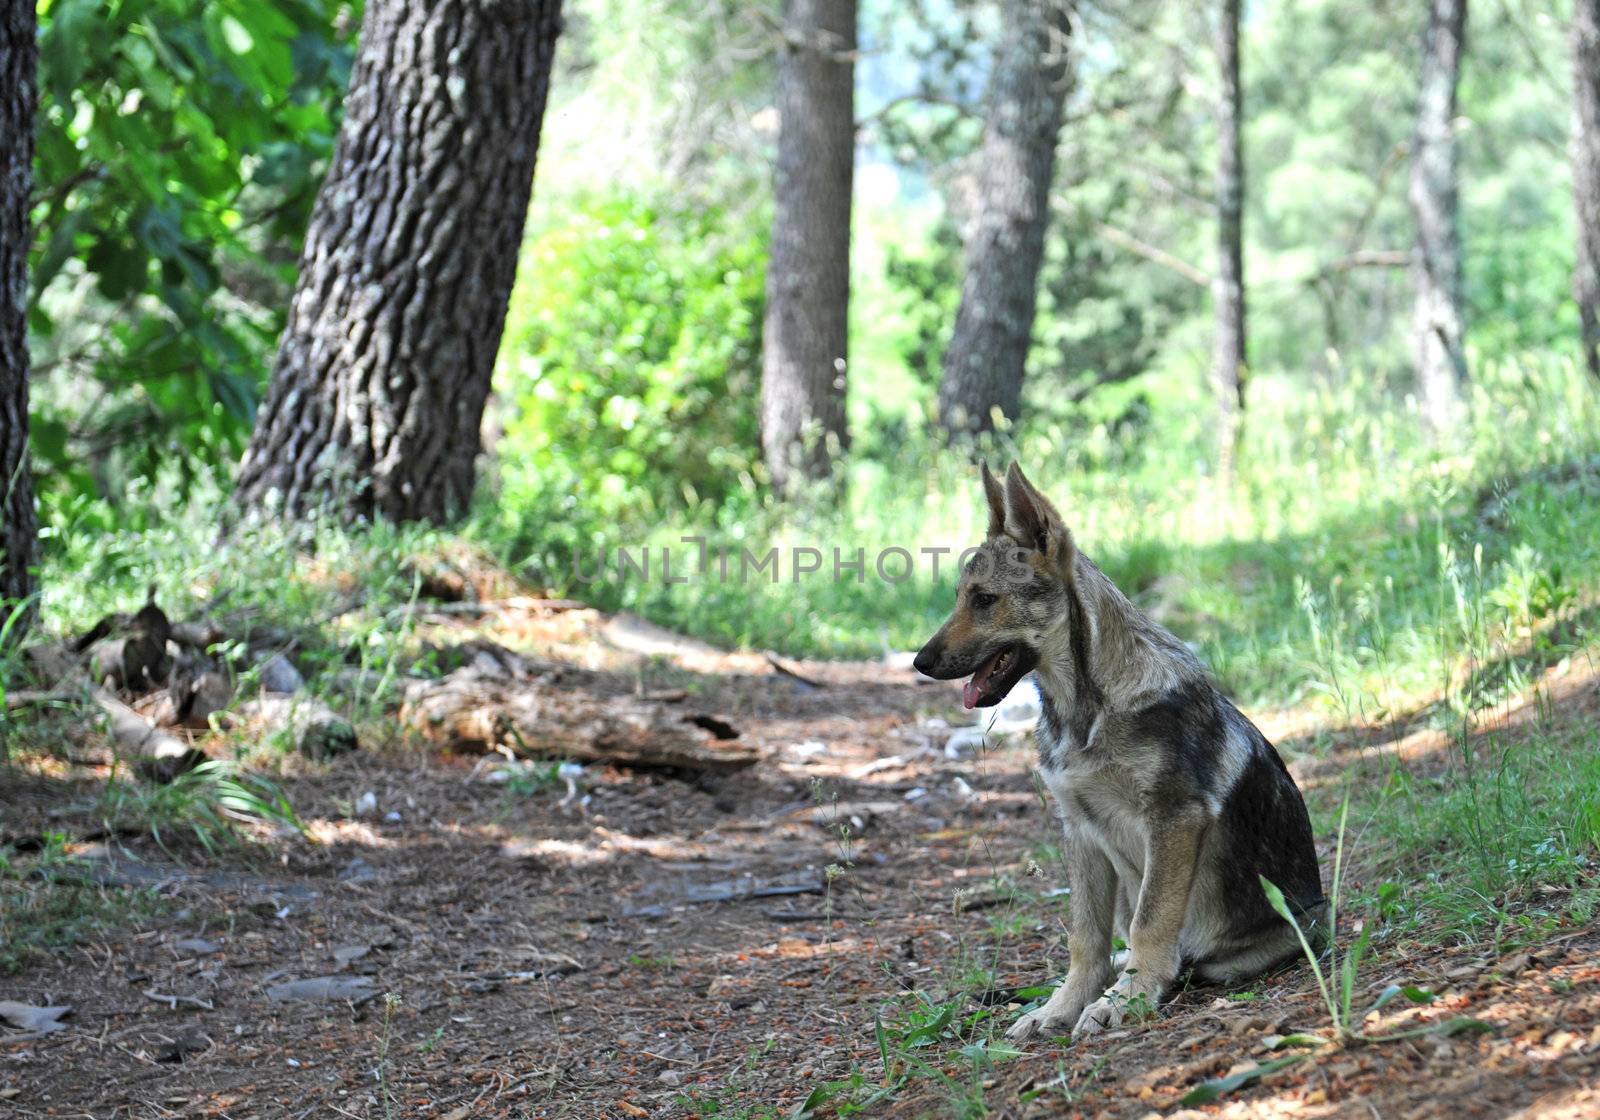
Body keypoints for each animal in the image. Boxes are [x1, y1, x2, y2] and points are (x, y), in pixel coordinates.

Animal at [915, 460, 1324, 1036]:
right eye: (960, 597)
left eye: (984, 600)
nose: (919, 662)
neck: (1084, 708)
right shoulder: (1080, 828)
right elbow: (1085, 939)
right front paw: (1061, 1008)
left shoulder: (1174, 820)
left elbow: (1150, 921)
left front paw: (1126, 999)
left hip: (1272, 937)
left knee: (1189, 956)